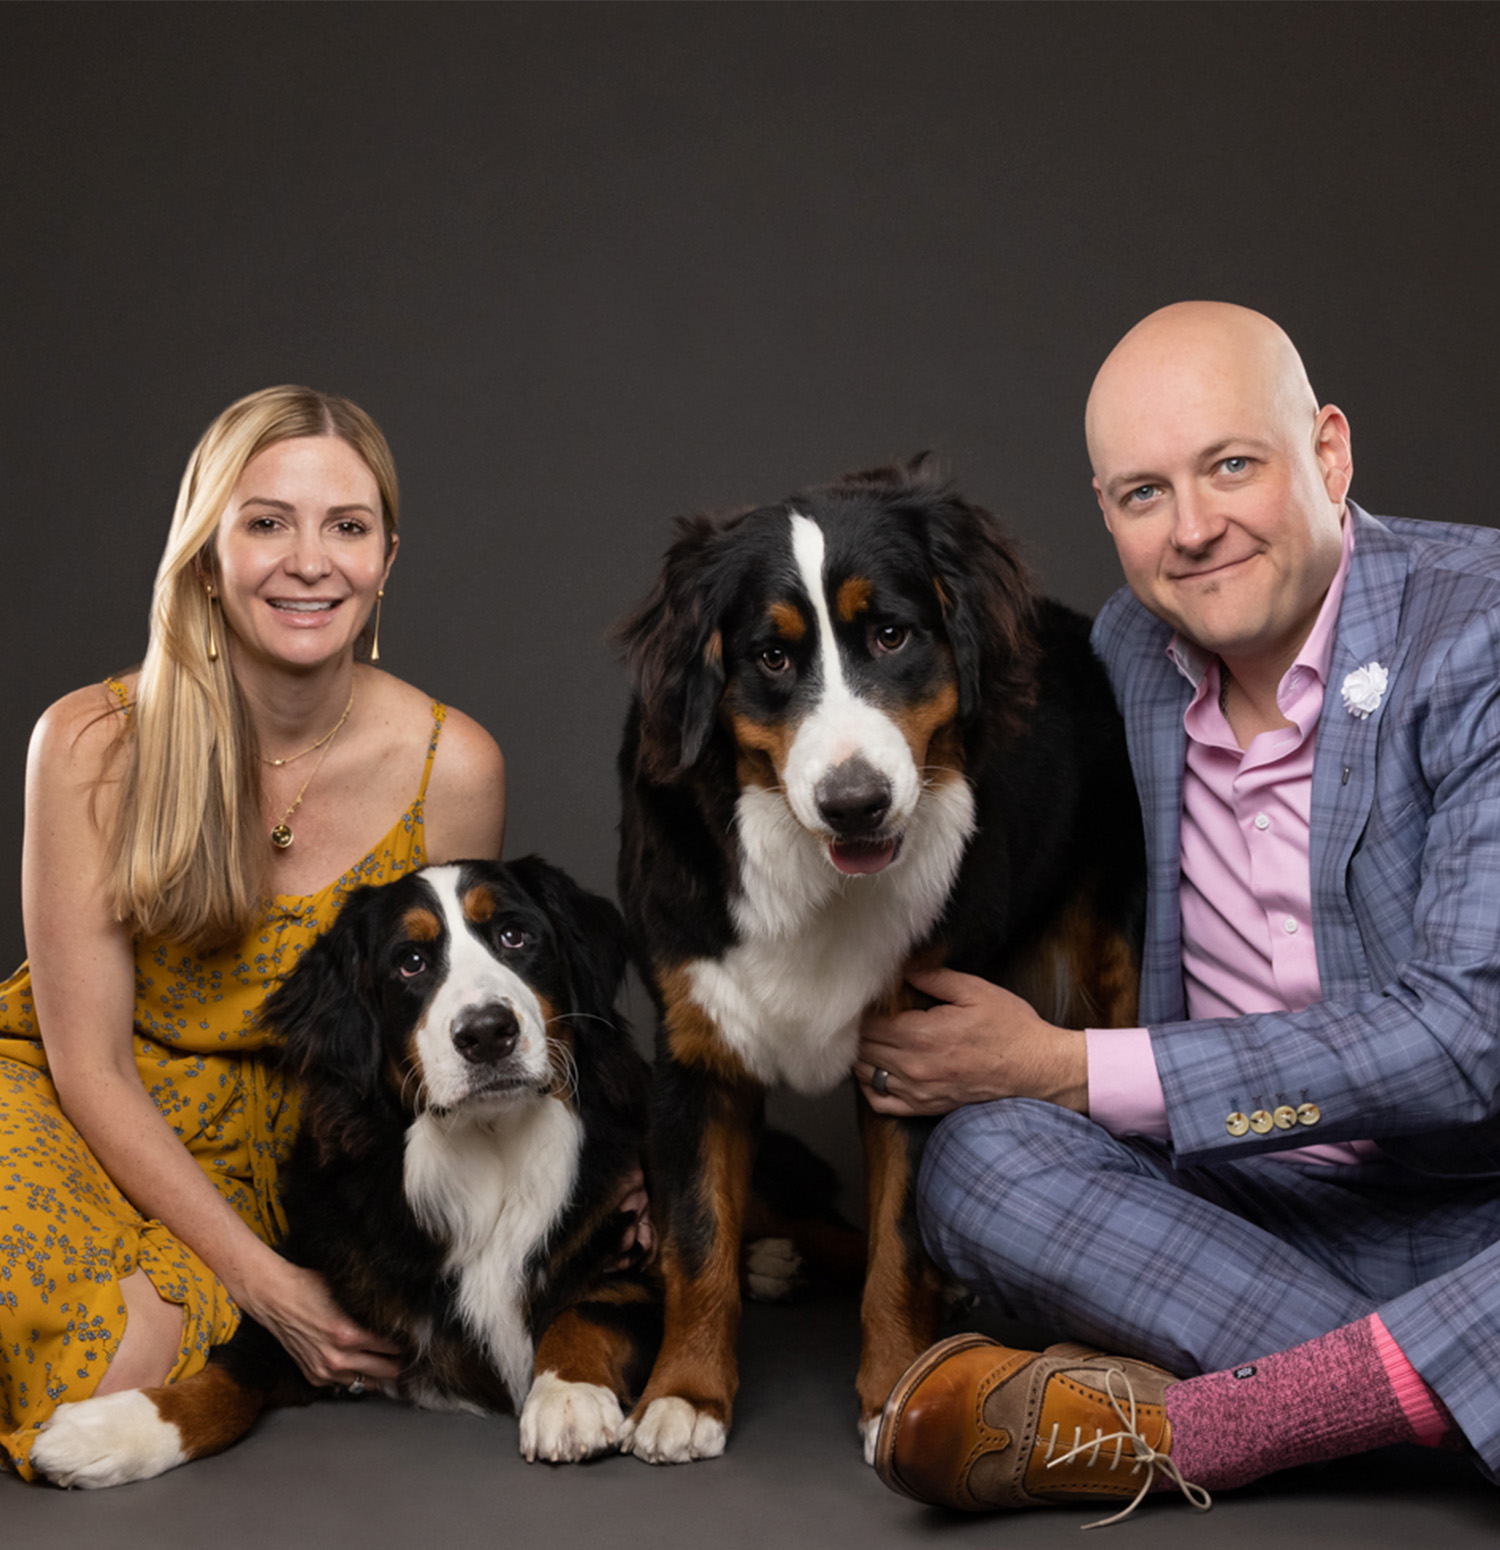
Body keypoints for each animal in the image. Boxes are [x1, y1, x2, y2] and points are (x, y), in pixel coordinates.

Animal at [29, 861, 660, 1488]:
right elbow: (230, 1376)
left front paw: (568, 1395)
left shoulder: (634, 1253)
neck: (491, 1148)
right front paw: (114, 1430)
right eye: (411, 962)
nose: (486, 1032)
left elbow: (587, 1310)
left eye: (514, 936)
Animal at [616, 455, 1140, 1463]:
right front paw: (685, 1392)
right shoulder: (696, 1049)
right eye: (772, 658)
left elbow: (900, 1244)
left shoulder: (927, 1048)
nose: (854, 802)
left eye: (891, 635)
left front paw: (898, 1385)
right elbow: (697, 1235)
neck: (814, 875)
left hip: (1112, 956)